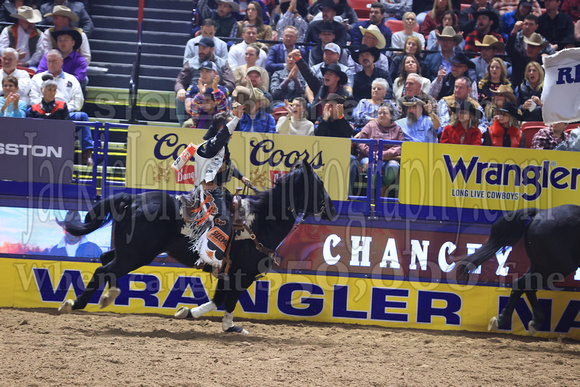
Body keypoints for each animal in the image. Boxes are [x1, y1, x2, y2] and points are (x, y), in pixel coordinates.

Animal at [458, 206, 580, 336]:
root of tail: (539, 213)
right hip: (555, 267)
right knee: (527, 284)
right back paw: (533, 322)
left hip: (539, 265)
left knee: (521, 284)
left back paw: (503, 319)